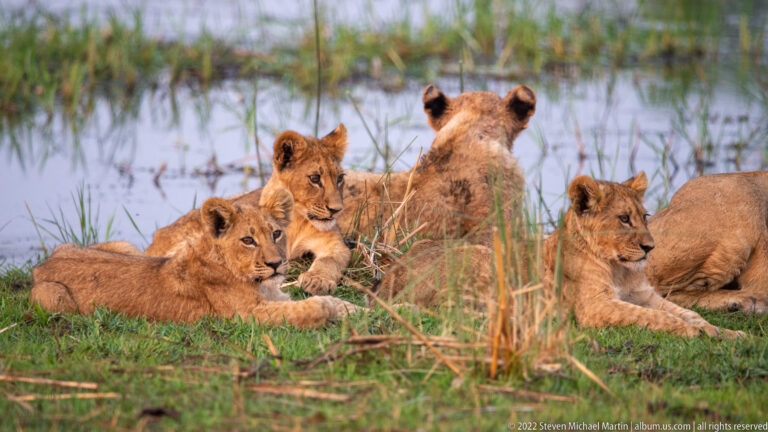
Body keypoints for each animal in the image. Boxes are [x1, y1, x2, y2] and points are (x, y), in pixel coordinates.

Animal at [29, 189, 359, 328]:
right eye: (248, 240)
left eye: (276, 233)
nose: (276, 264)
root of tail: (41, 266)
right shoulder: (245, 315)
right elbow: (306, 308)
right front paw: (327, 308)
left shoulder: (275, 296)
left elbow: (336, 302)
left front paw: (358, 310)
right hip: (53, 299)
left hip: (125, 246)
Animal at [145, 125, 351, 296]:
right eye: (315, 178)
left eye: (340, 178)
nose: (337, 210)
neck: (297, 219)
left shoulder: (335, 245)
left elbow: (329, 261)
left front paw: (317, 280)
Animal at [544, 172, 743, 338]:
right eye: (624, 218)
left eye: (645, 216)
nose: (650, 247)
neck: (619, 270)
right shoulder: (595, 306)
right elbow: (654, 315)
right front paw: (693, 330)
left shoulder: (644, 295)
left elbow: (689, 312)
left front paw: (725, 332)